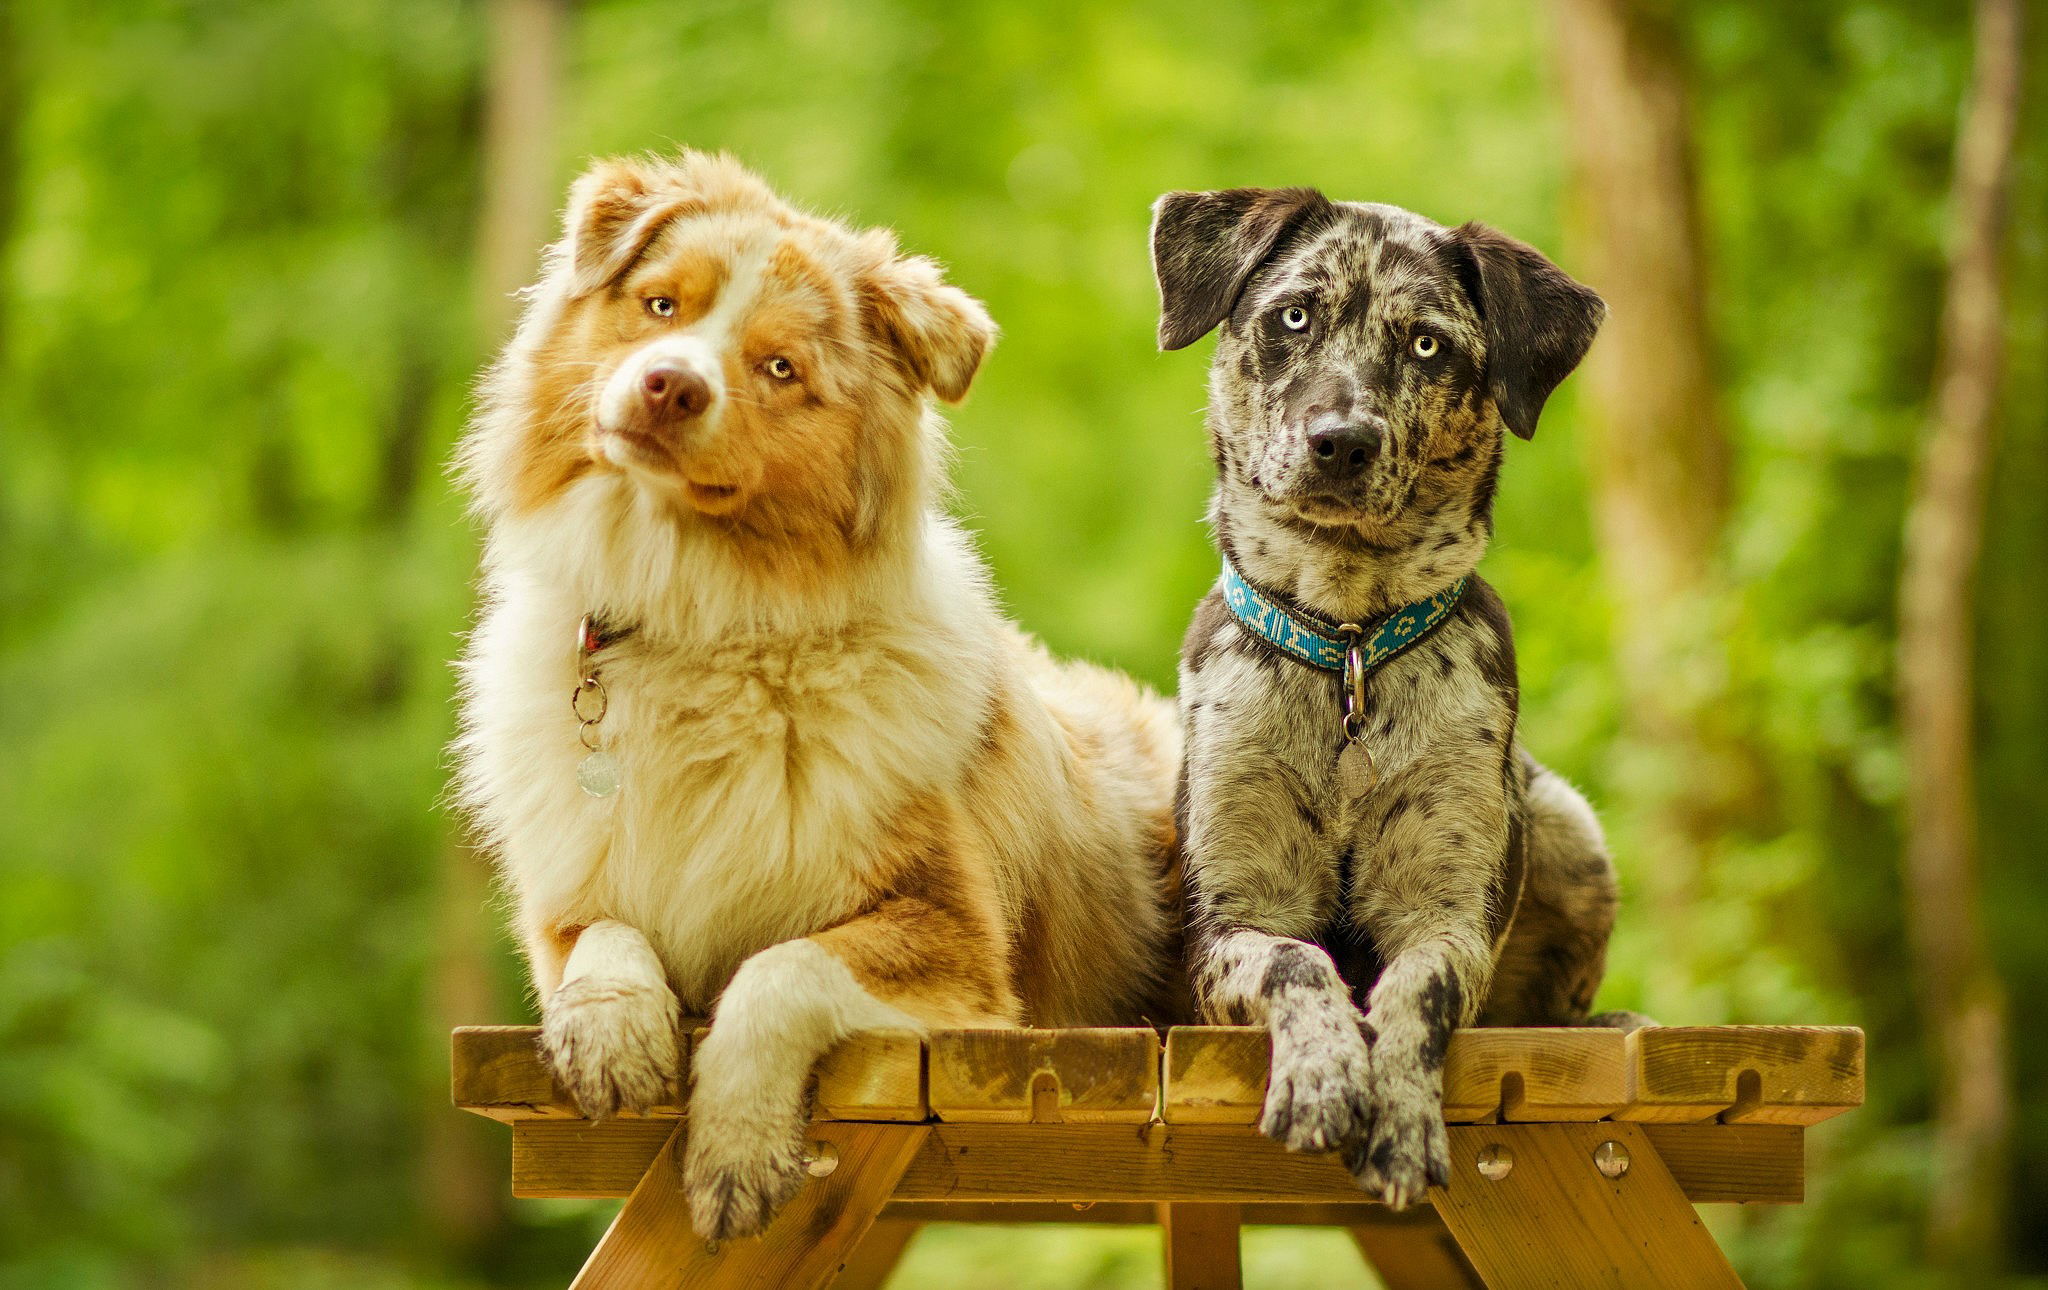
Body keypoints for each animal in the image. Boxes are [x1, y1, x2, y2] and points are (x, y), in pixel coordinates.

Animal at [452, 151, 1187, 1244]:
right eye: (660, 304)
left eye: (779, 369)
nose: (670, 385)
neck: (696, 622)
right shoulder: (566, 908)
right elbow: (609, 940)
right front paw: (614, 1035)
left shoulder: (957, 943)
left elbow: (781, 968)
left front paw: (738, 1151)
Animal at [1155, 187, 1646, 1212]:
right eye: (1293, 316)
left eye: (1427, 345)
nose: (1342, 440)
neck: (1348, 647)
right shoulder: (1229, 921)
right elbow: (1299, 960)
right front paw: (1322, 1076)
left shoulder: (1449, 916)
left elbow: (1416, 993)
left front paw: (1405, 1123)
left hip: (1567, 825)